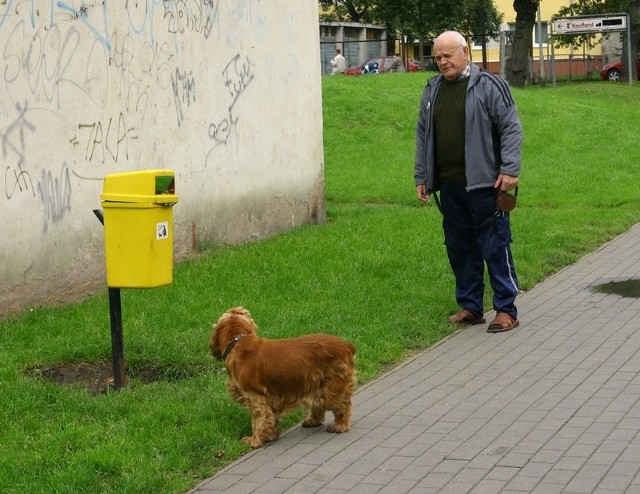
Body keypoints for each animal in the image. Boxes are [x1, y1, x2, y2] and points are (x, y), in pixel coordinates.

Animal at [212, 304, 358, 448]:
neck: (237, 343)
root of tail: (347, 345)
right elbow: (271, 418)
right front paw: (271, 435)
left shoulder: (255, 398)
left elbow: (258, 420)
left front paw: (254, 440)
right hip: (317, 384)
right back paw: (312, 420)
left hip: (332, 388)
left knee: (344, 405)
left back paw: (339, 425)